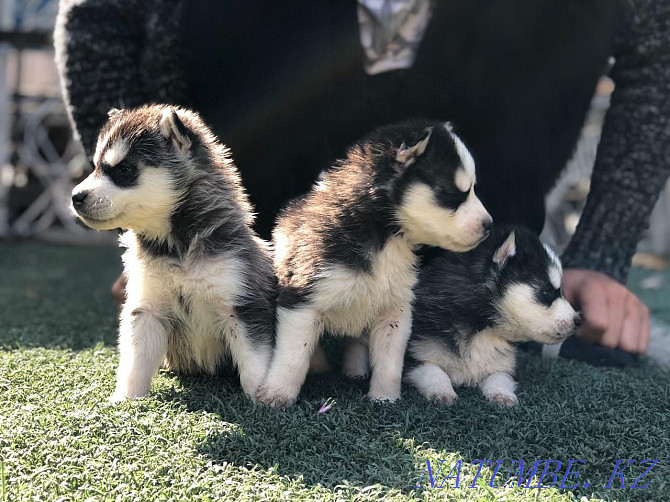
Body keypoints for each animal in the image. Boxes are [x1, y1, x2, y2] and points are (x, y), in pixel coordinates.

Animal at [71, 105, 276, 400]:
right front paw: (124, 399)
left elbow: (255, 364)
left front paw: (262, 400)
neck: (176, 249)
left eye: (124, 169)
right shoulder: (146, 307)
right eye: (96, 167)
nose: (75, 197)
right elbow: (135, 362)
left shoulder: (243, 304)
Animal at [258, 121, 494, 408]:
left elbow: (390, 363)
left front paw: (385, 398)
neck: (386, 238)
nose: (489, 225)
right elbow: (293, 356)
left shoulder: (395, 311)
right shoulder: (302, 300)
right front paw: (277, 394)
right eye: (452, 194)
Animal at [406, 226, 580, 406]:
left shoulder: (504, 366)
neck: (485, 329)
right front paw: (442, 391)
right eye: (547, 292)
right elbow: (433, 371)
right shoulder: (415, 355)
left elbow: (499, 378)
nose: (578, 321)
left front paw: (502, 395)